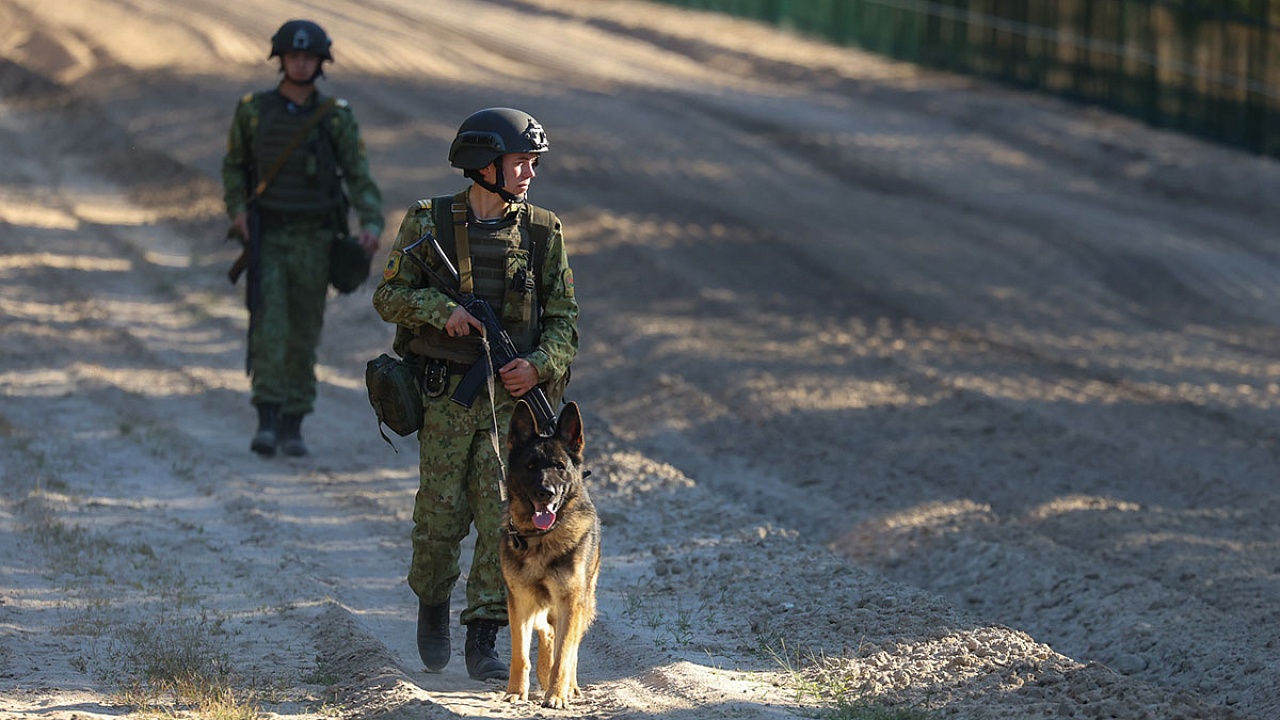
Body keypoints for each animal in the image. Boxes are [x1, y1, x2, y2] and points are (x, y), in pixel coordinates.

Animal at [499, 397, 599, 707]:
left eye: (559, 466)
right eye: (531, 466)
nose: (546, 492)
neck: (541, 538)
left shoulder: (570, 601)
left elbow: (565, 654)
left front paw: (557, 694)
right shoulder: (519, 601)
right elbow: (520, 654)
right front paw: (516, 692)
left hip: (582, 601)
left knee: (568, 644)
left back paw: (569, 687)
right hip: (539, 603)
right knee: (546, 631)